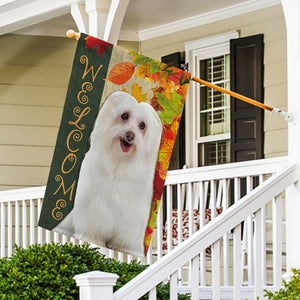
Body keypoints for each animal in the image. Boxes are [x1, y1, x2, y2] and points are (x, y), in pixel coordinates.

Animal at [54, 91, 162, 255]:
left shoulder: (133, 214)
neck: (119, 163)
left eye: (142, 125)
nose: (130, 135)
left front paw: (126, 249)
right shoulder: (93, 205)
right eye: (124, 115)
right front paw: (91, 239)